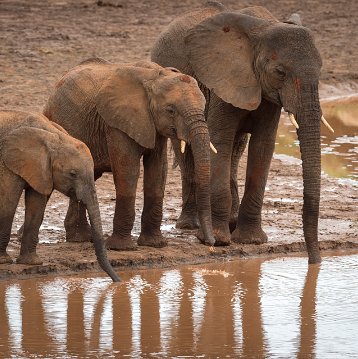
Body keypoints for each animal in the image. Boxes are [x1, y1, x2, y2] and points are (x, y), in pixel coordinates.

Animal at [0, 111, 120, 282]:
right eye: (72, 174)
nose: (118, 282)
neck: (53, 137)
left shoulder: (41, 169)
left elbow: (36, 208)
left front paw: (32, 263)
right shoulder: (7, 162)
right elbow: (8, 203)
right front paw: (3, 261)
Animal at [45, 57, 215, 252]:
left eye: (204, 107)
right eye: (171, 110)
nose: (209, 242)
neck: (155, 77)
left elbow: (158, 172)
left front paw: (155, 244)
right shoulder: (116, 123)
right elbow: (128, 171)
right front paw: (122, 248)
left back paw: (82, 238)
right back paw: (80, 238)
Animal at [150, 0, 332, 264]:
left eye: (320, 70)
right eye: (280, 72)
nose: (314, 261)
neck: (263, 30)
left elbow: (263, 147)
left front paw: (251, 240)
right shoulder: (222, 79)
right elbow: (219, 141)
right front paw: (219, 240)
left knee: (237, 151)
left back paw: (230, 221)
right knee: (188, 152)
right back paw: (190, 225)